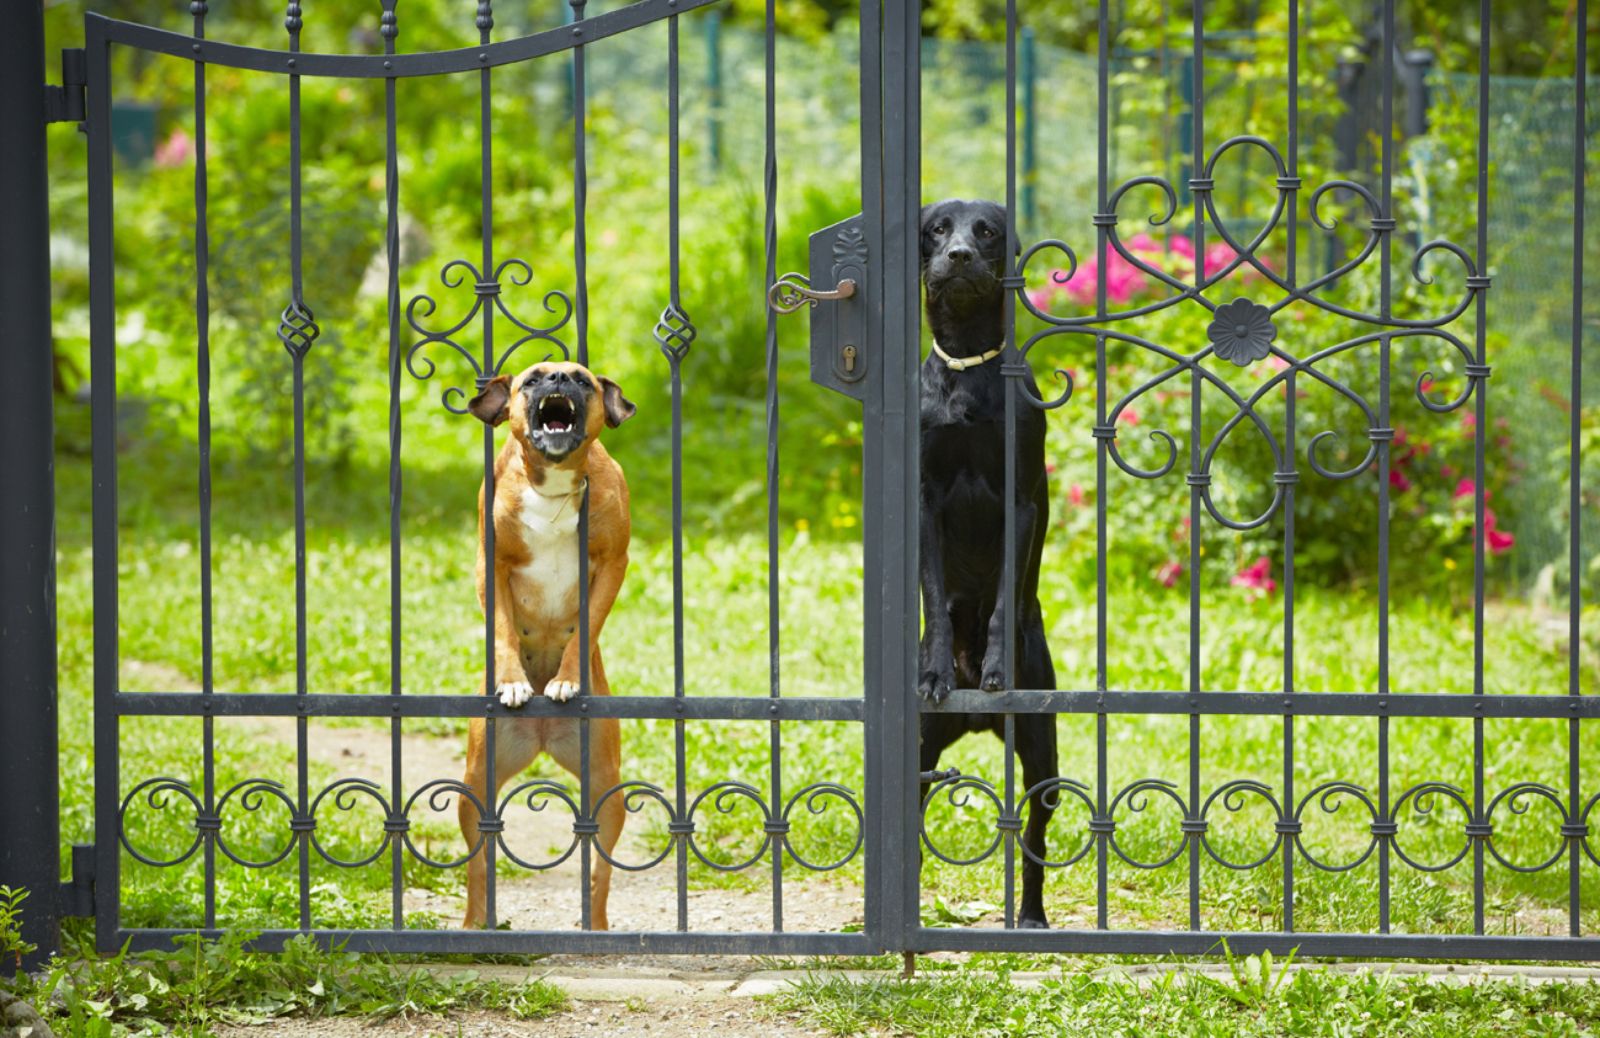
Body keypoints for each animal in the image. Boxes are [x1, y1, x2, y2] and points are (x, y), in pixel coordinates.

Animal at [457, 359, 630, 927]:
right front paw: (514, 682)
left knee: (599, 874)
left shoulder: (612, 564)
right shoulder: (490, 567)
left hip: (606, 789)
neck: (552, 486)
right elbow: (505, 632)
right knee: (478, 869)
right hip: (475, 786)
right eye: (533, 379)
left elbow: (584, 631)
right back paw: (475, 925)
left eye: (582, 379)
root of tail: (541, 735)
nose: (558, 379)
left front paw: (566, 679)